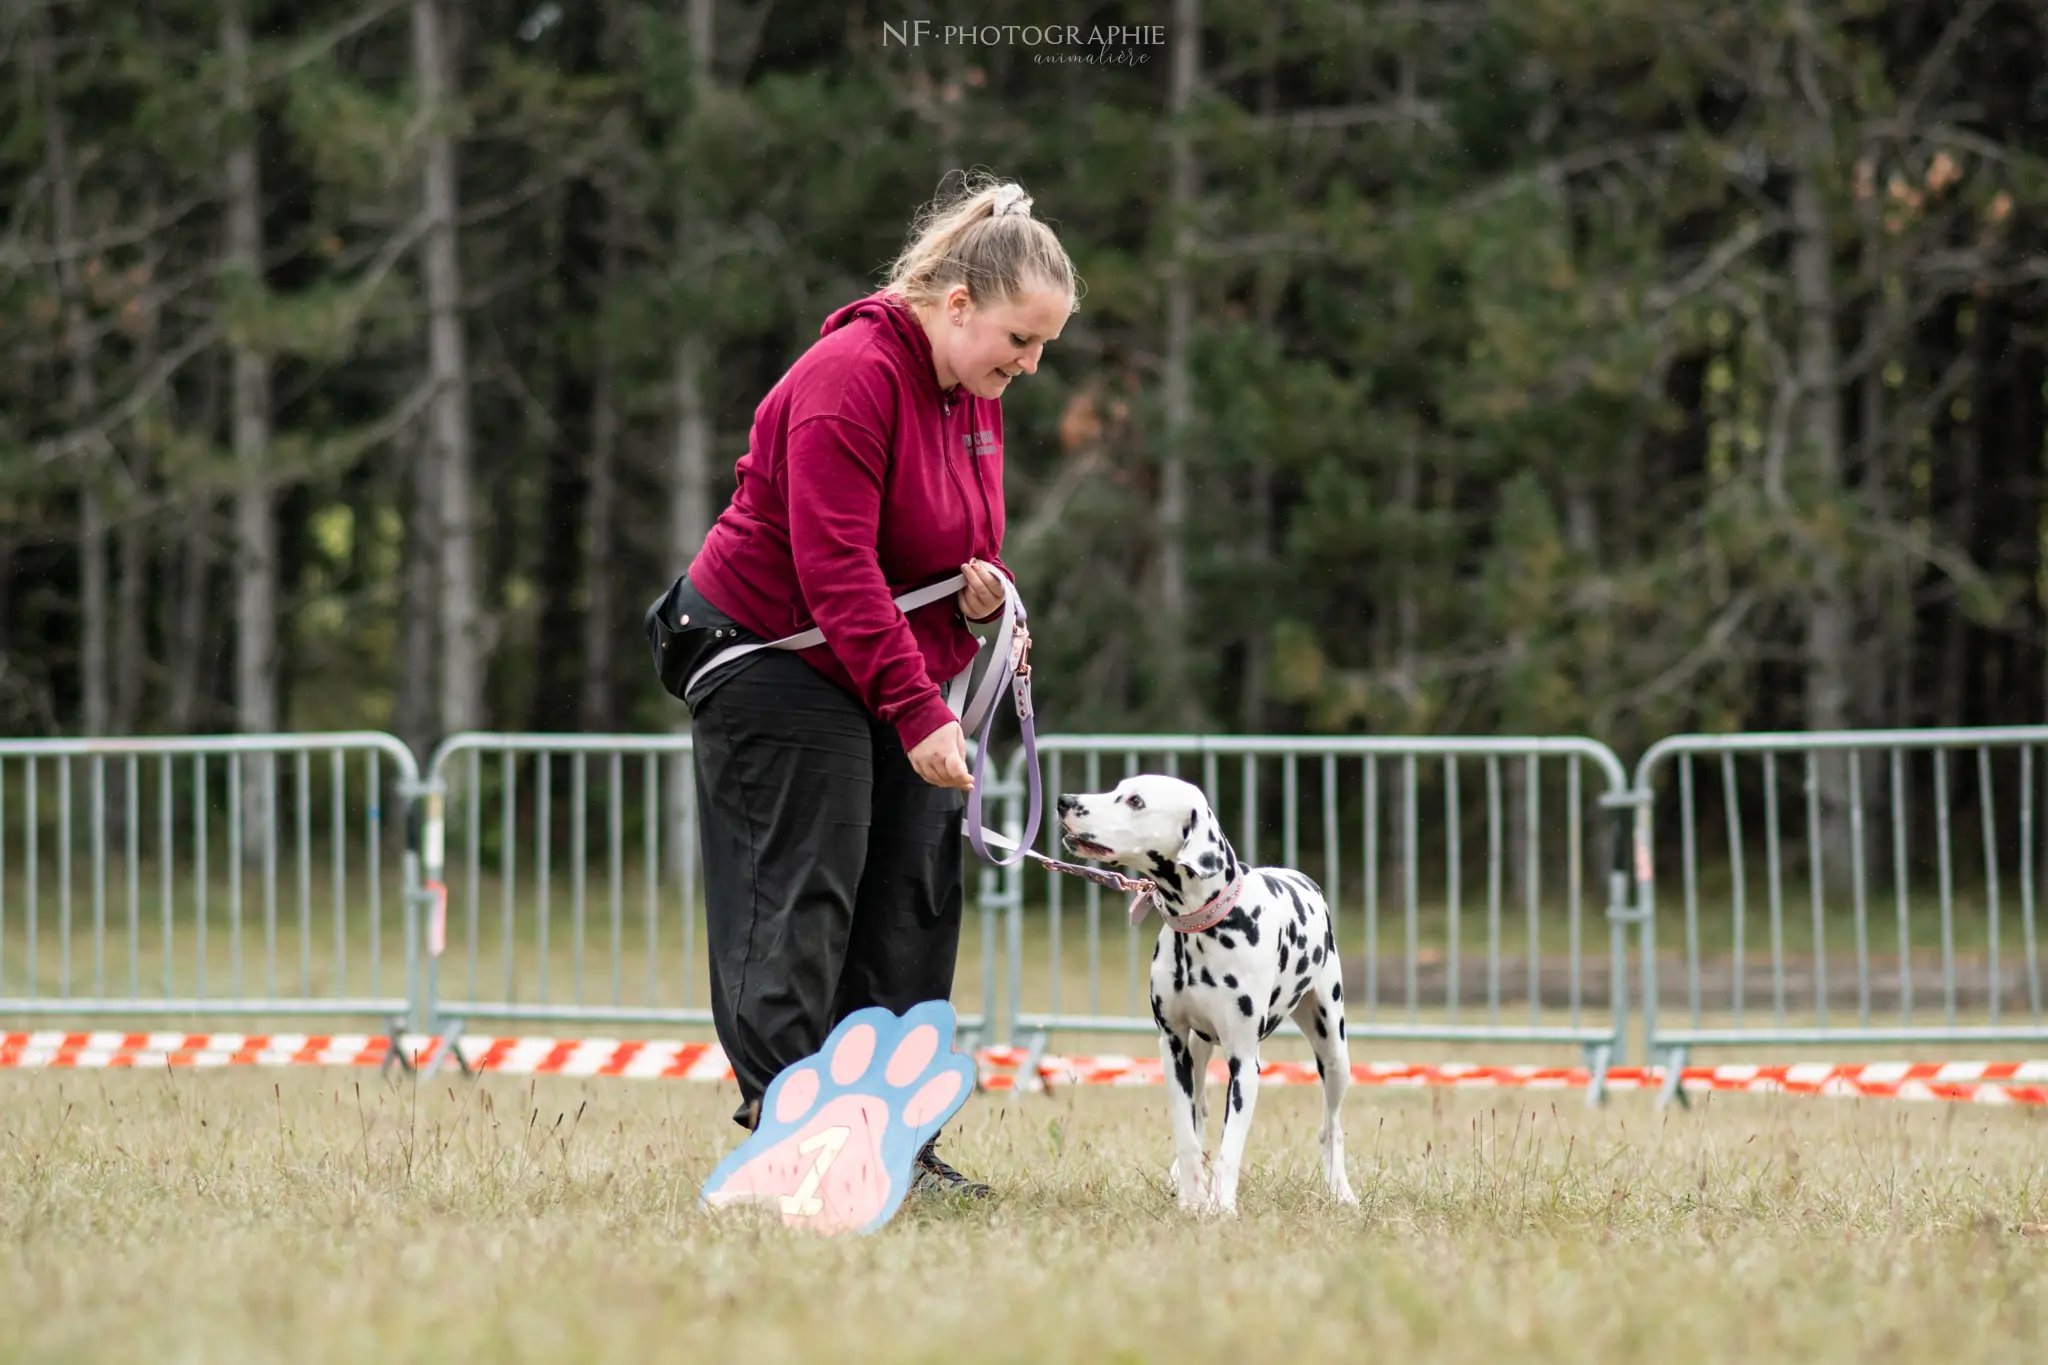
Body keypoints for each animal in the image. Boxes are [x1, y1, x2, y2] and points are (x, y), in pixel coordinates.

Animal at [1056, 777, 1359, 1219]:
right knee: (1199, 1112)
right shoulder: (1173, 1049)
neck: (1201, 926)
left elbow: (1230, 1147)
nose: (1064, 801)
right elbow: (1187, 1135)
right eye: (1118, 789)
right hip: (1198, 1053)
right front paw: (1191, 1200)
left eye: (1135, 800)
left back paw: (1341, 1191)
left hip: (1333, 1052)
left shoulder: (1244, 1064)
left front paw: (1222, 1207)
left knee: (1332, 1127)